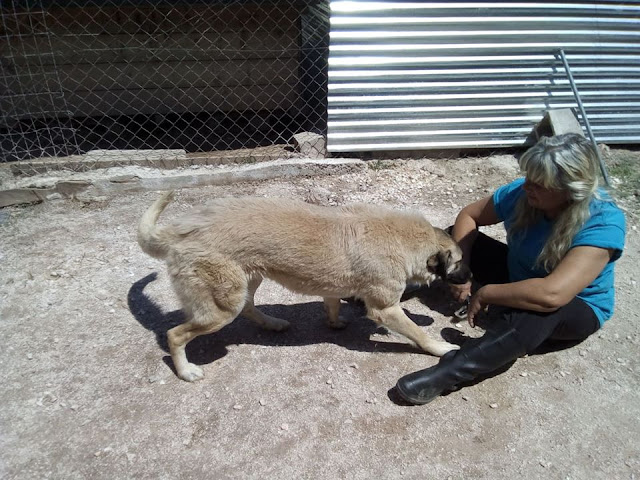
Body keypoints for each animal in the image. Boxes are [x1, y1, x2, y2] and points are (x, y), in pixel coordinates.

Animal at [138, 191, 472, 382]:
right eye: (459, 261)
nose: (471, 278)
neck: (404, 239)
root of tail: (180, 230)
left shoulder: (334, 289)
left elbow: (332, 305)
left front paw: (334, 323)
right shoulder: (385, 309)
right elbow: (418, 332)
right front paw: (441, 348)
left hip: (246, 282)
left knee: (248, 307)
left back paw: (273, 323)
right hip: (222, 307)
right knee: (175, 334)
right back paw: (186, 371)